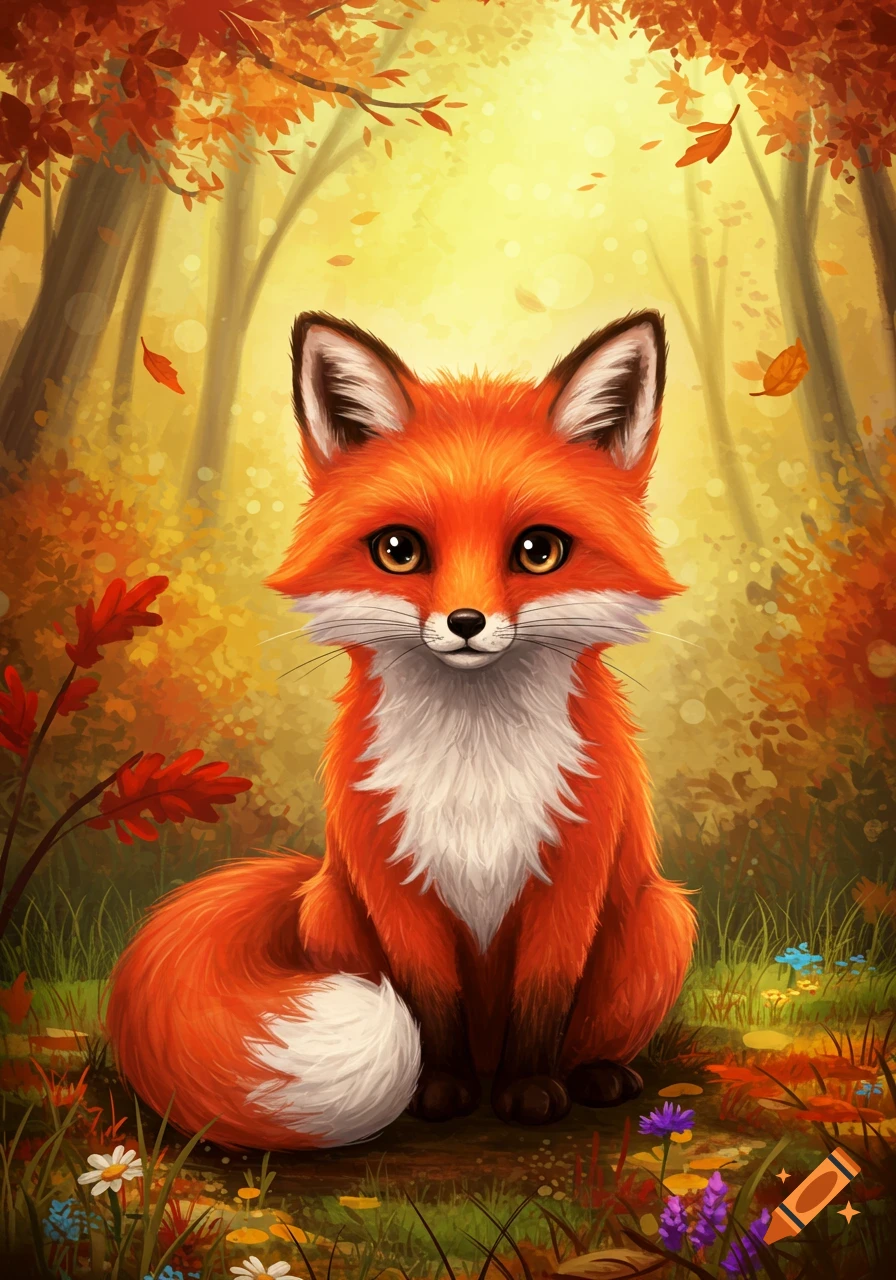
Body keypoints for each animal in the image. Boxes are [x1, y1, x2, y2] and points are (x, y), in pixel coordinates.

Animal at [106, 309, 696, 1150]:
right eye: (399, 550)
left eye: (538, 551)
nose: (466, 623)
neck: (476, 769)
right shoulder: (396, 879)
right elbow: (430, 1001)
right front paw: (439, 1090)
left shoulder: (571, 874)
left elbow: (543, 1000)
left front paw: (530, 1089)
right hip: (331, 910)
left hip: (658, 921)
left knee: (592, 1032)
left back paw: (595, 1074)